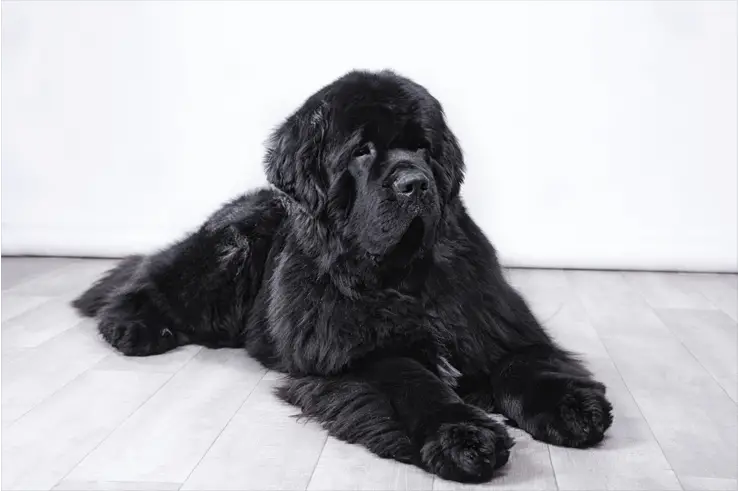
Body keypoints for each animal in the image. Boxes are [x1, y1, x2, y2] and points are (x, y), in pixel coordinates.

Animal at [73, 69, 608, 484]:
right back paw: (131, 326)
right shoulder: (355, 355)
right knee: (151, 278)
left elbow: (523, 363)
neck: (401, 278)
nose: (415, 183)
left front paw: (571, 406)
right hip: (230, 248)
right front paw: (461, 434)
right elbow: (411, 380)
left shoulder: (491, 325)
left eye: (423, 149)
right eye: (362, 151)